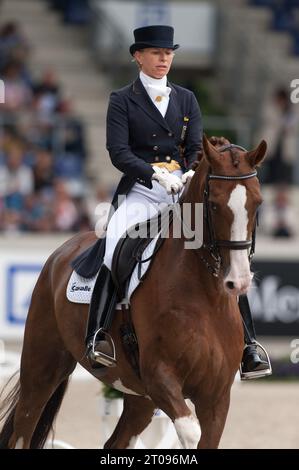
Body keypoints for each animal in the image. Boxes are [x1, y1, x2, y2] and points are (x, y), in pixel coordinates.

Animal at [0, 135, 268, 448]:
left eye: (258, 203)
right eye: (213, 205)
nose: (238, 281)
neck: (205, 296)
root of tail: (61, 252)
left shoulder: (215, 397)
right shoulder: (159, 377)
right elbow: (191, 432)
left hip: (139, 396)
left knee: (116, 441)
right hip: (42, 369)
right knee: (22, 431)